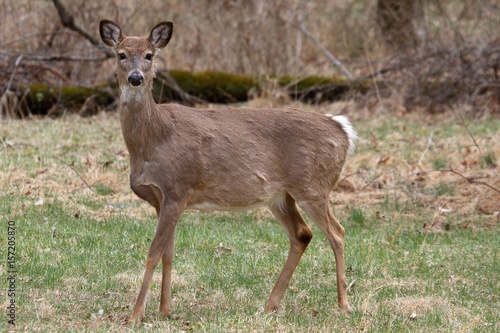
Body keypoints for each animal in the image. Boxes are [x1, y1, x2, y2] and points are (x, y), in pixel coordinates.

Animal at [97, 19, 356, 322]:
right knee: (302, 234)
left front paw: (136, 314)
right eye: (121, 54)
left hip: (313, 185)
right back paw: (270, 304)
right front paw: (165, 310)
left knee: (337, 232)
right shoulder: (162, 200)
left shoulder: (177, 189)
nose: (136, 78)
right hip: (281, 196)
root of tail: (342, 129)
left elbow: (153, 253)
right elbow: (167, 253)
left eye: (149, 55)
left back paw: (343, 304)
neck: (153, 140)